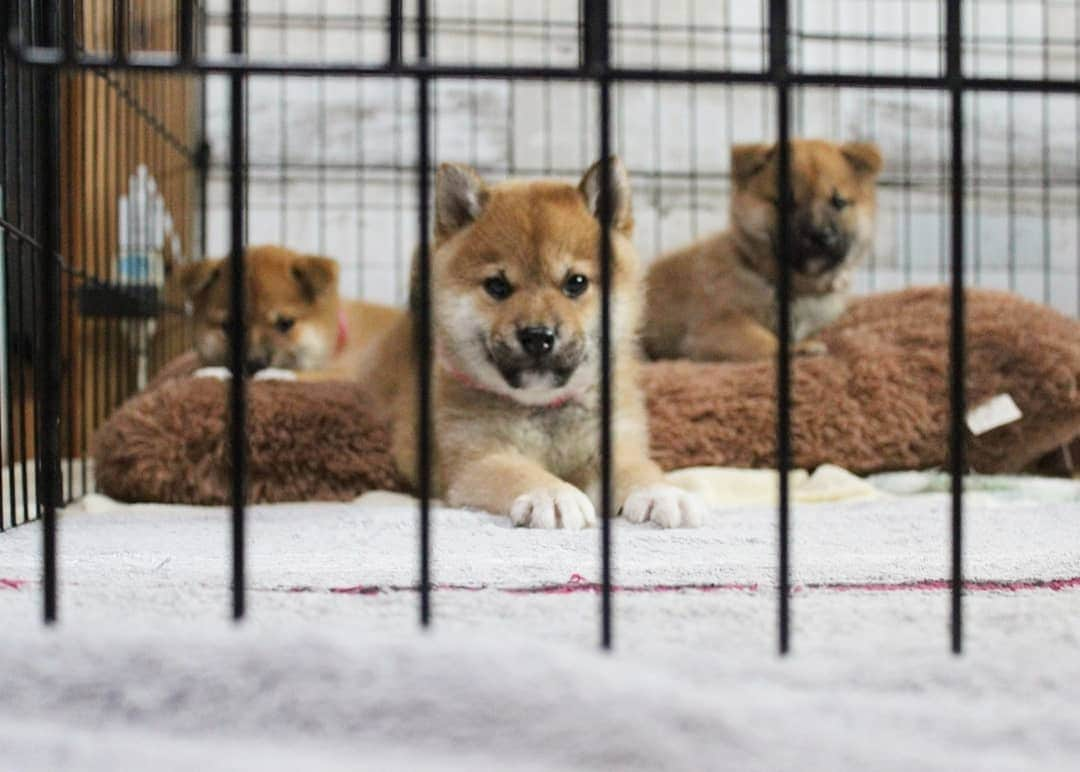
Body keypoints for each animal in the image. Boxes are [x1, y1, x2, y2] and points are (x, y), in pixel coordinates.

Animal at [358, 159, 704, 529]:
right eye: (497, 286)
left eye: (576, 283)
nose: (538, 336)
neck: (543, 408)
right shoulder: (478, 457)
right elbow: (518, 472)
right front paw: (552, 494)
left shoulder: (614, 444)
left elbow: (637, 469)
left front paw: (660, 492)